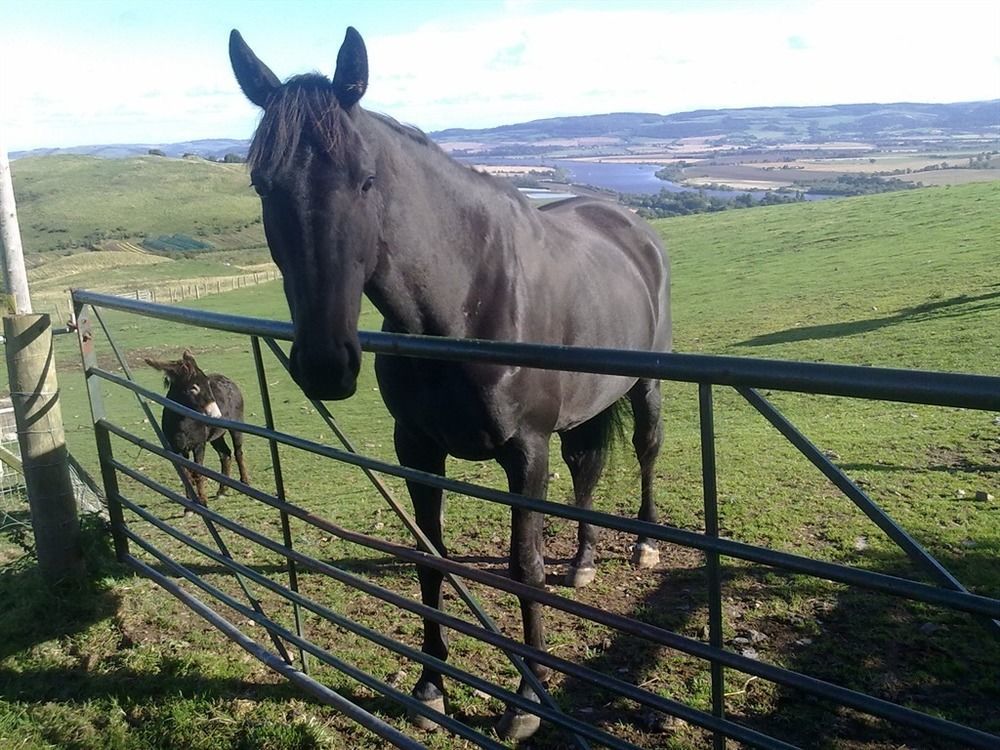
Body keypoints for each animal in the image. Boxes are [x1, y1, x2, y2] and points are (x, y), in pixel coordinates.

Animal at [146, 352, 252, 506]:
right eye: (193, 388)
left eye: (207, 383)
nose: (217, 415)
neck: (182, 423)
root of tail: (227, 379)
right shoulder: (177, 448)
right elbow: (186, 474)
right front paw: (189, 502)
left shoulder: (199, 445)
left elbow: (197, 472)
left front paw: (202, 501)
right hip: (216, 436)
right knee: (225, 454)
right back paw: (222, 490)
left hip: (236, 425)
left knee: (238, 452)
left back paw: (245, 482)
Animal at [231, 27, 672, 740]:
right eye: (262, 184)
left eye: (367, 180)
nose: (326, 363)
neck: (466, 302)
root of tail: (631, 224)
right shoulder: (417, 449)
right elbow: (430, 558)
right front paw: (431, 686)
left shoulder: (526, 454)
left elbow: (524, 568)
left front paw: (524, 707)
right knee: (586, 470)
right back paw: (583, 562)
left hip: (646, 387)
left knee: (646, 452)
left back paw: (644, 547)